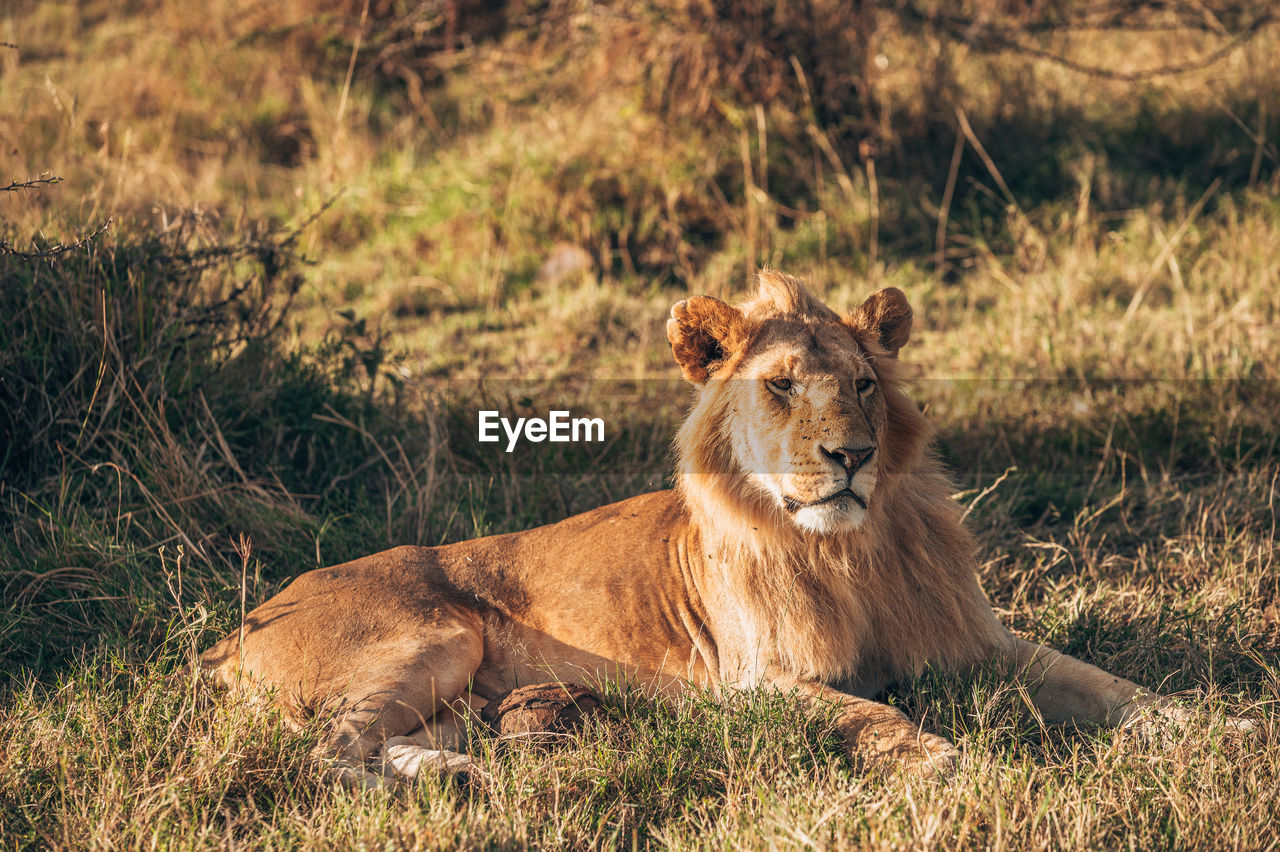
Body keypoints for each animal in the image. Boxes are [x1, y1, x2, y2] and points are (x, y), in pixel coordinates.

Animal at [202, 269, 1218, 782]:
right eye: (781, 386)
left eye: (865, 385)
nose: (852, 455)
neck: (846, 553)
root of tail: (235, 628)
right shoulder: (754, 683)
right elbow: (874, 713)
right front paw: (945, 762)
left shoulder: (981, 644)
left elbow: (1110, 685)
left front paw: (1215, 730)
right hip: (432, 637)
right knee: (322, 755)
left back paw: (468, 770)